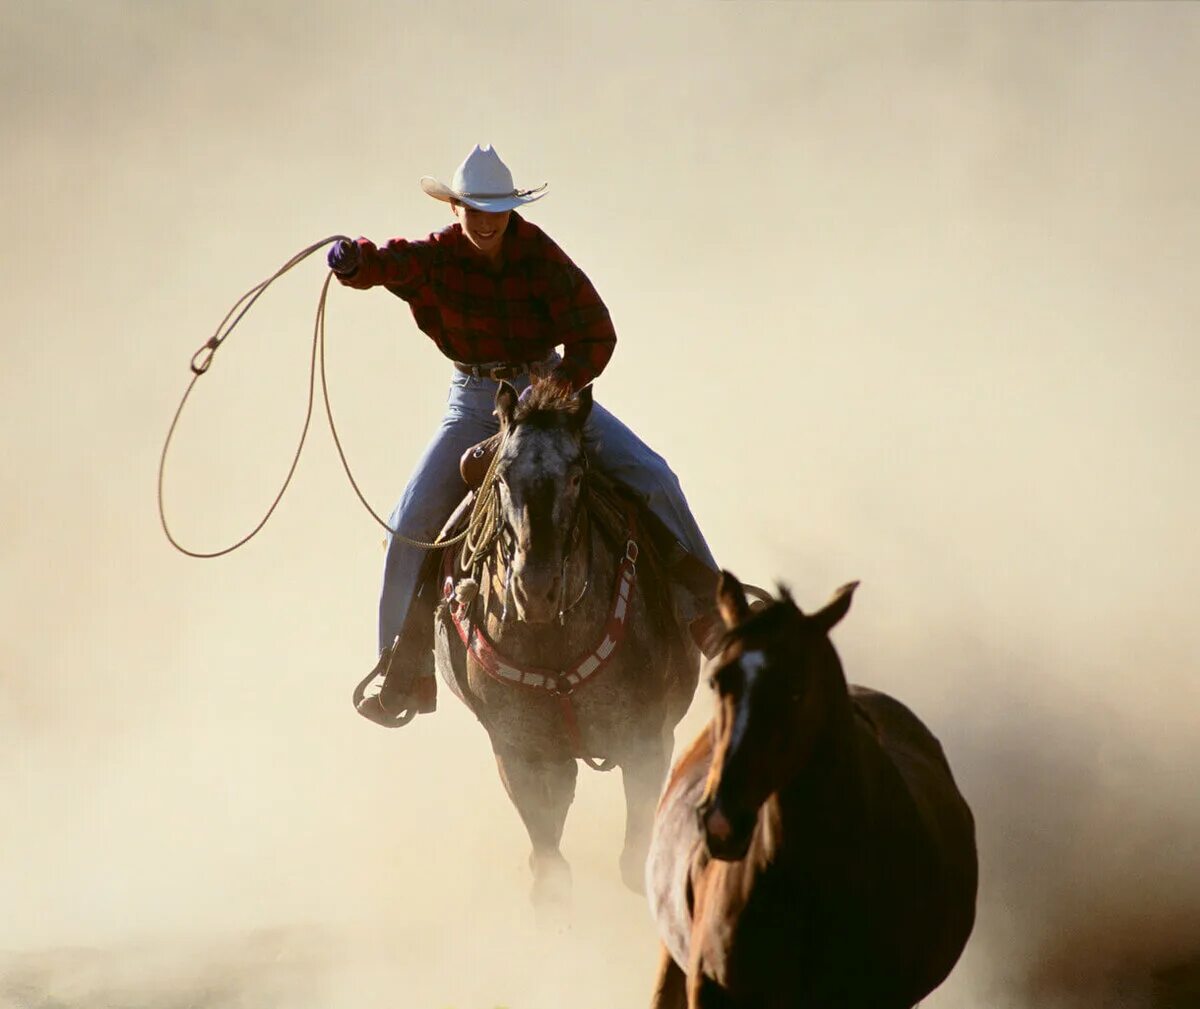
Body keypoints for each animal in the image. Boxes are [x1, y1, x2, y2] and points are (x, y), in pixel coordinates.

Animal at [432, 379, 700, 911]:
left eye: (577, 476)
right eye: (500, 477)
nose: (535, 589)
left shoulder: (647, 743)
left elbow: (635, 863)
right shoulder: (523, 755)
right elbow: (551, 874)